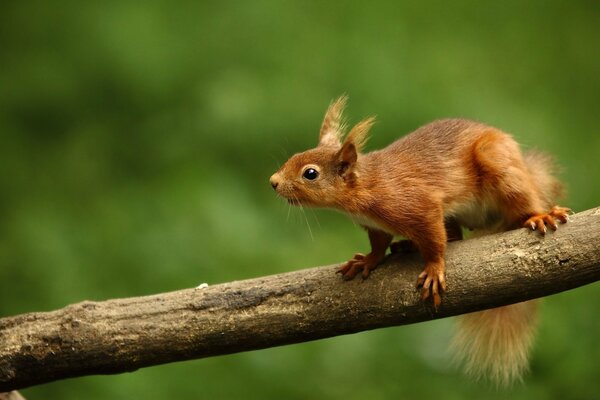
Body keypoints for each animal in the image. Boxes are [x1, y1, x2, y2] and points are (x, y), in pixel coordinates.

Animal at [270, 95, 568, 386]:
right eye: (295, 156)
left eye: (310, 173)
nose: (273, 181)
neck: (367, 186)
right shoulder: (375, 226)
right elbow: (379, 245)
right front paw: (367, 261)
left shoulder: (420, 206)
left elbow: (435, 242)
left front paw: (434, 269)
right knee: (455, 235)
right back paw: (407, 245)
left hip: (498, 165)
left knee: (520, 201)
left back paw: (540, 215)